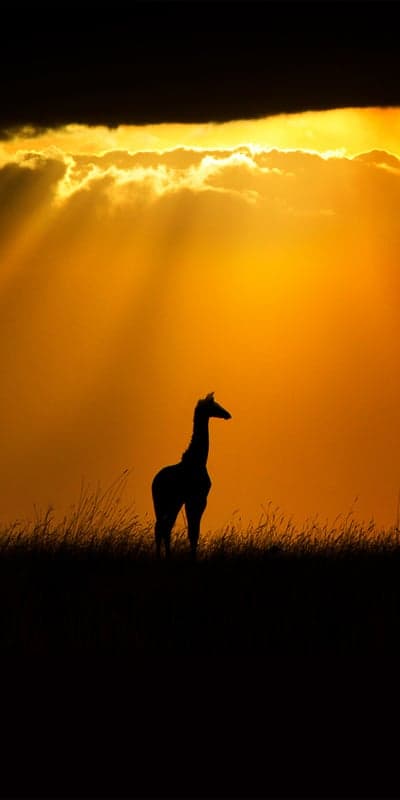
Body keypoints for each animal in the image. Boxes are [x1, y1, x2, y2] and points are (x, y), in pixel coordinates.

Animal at [152, 393, 232, 560]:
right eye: (215, 406)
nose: (228, 414)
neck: (199, 459)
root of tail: (153, 483)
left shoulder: (189, 500)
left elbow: (193, 531)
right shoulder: (199, 499)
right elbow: (194, 532)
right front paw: (193, 557)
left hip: (166, 503)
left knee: (163, 527)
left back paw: (164, 556)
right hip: (168, 502)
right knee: (163, 527)